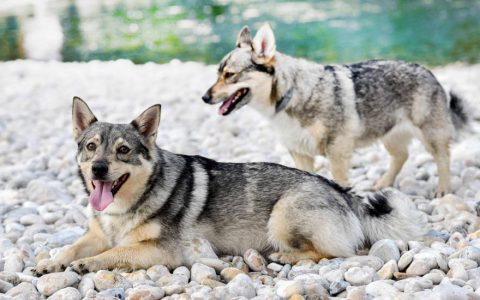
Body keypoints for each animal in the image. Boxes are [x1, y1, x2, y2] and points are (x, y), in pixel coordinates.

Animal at [33, 96, 424, 274]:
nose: (98, 169)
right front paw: (51, 263)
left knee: (337, 253)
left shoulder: (159, 251)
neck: (122, 209)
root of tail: (343, 192)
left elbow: (112, 254)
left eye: (123, 150)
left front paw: (88, 264)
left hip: (283, 216)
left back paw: (284, 255)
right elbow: (70, 248)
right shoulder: (96, 234)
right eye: (91, 147)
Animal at [201, 23, 466, 197]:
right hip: (388, 135)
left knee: (443, 158)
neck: (291, 95)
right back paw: (383, 183)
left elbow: (340, 182)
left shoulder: (337, 152)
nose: (205, 97)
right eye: (217, 74)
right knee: (402, 156)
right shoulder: (300, 153)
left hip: (430, 136)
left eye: (230, 75)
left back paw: (444, 189)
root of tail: (428, 70)